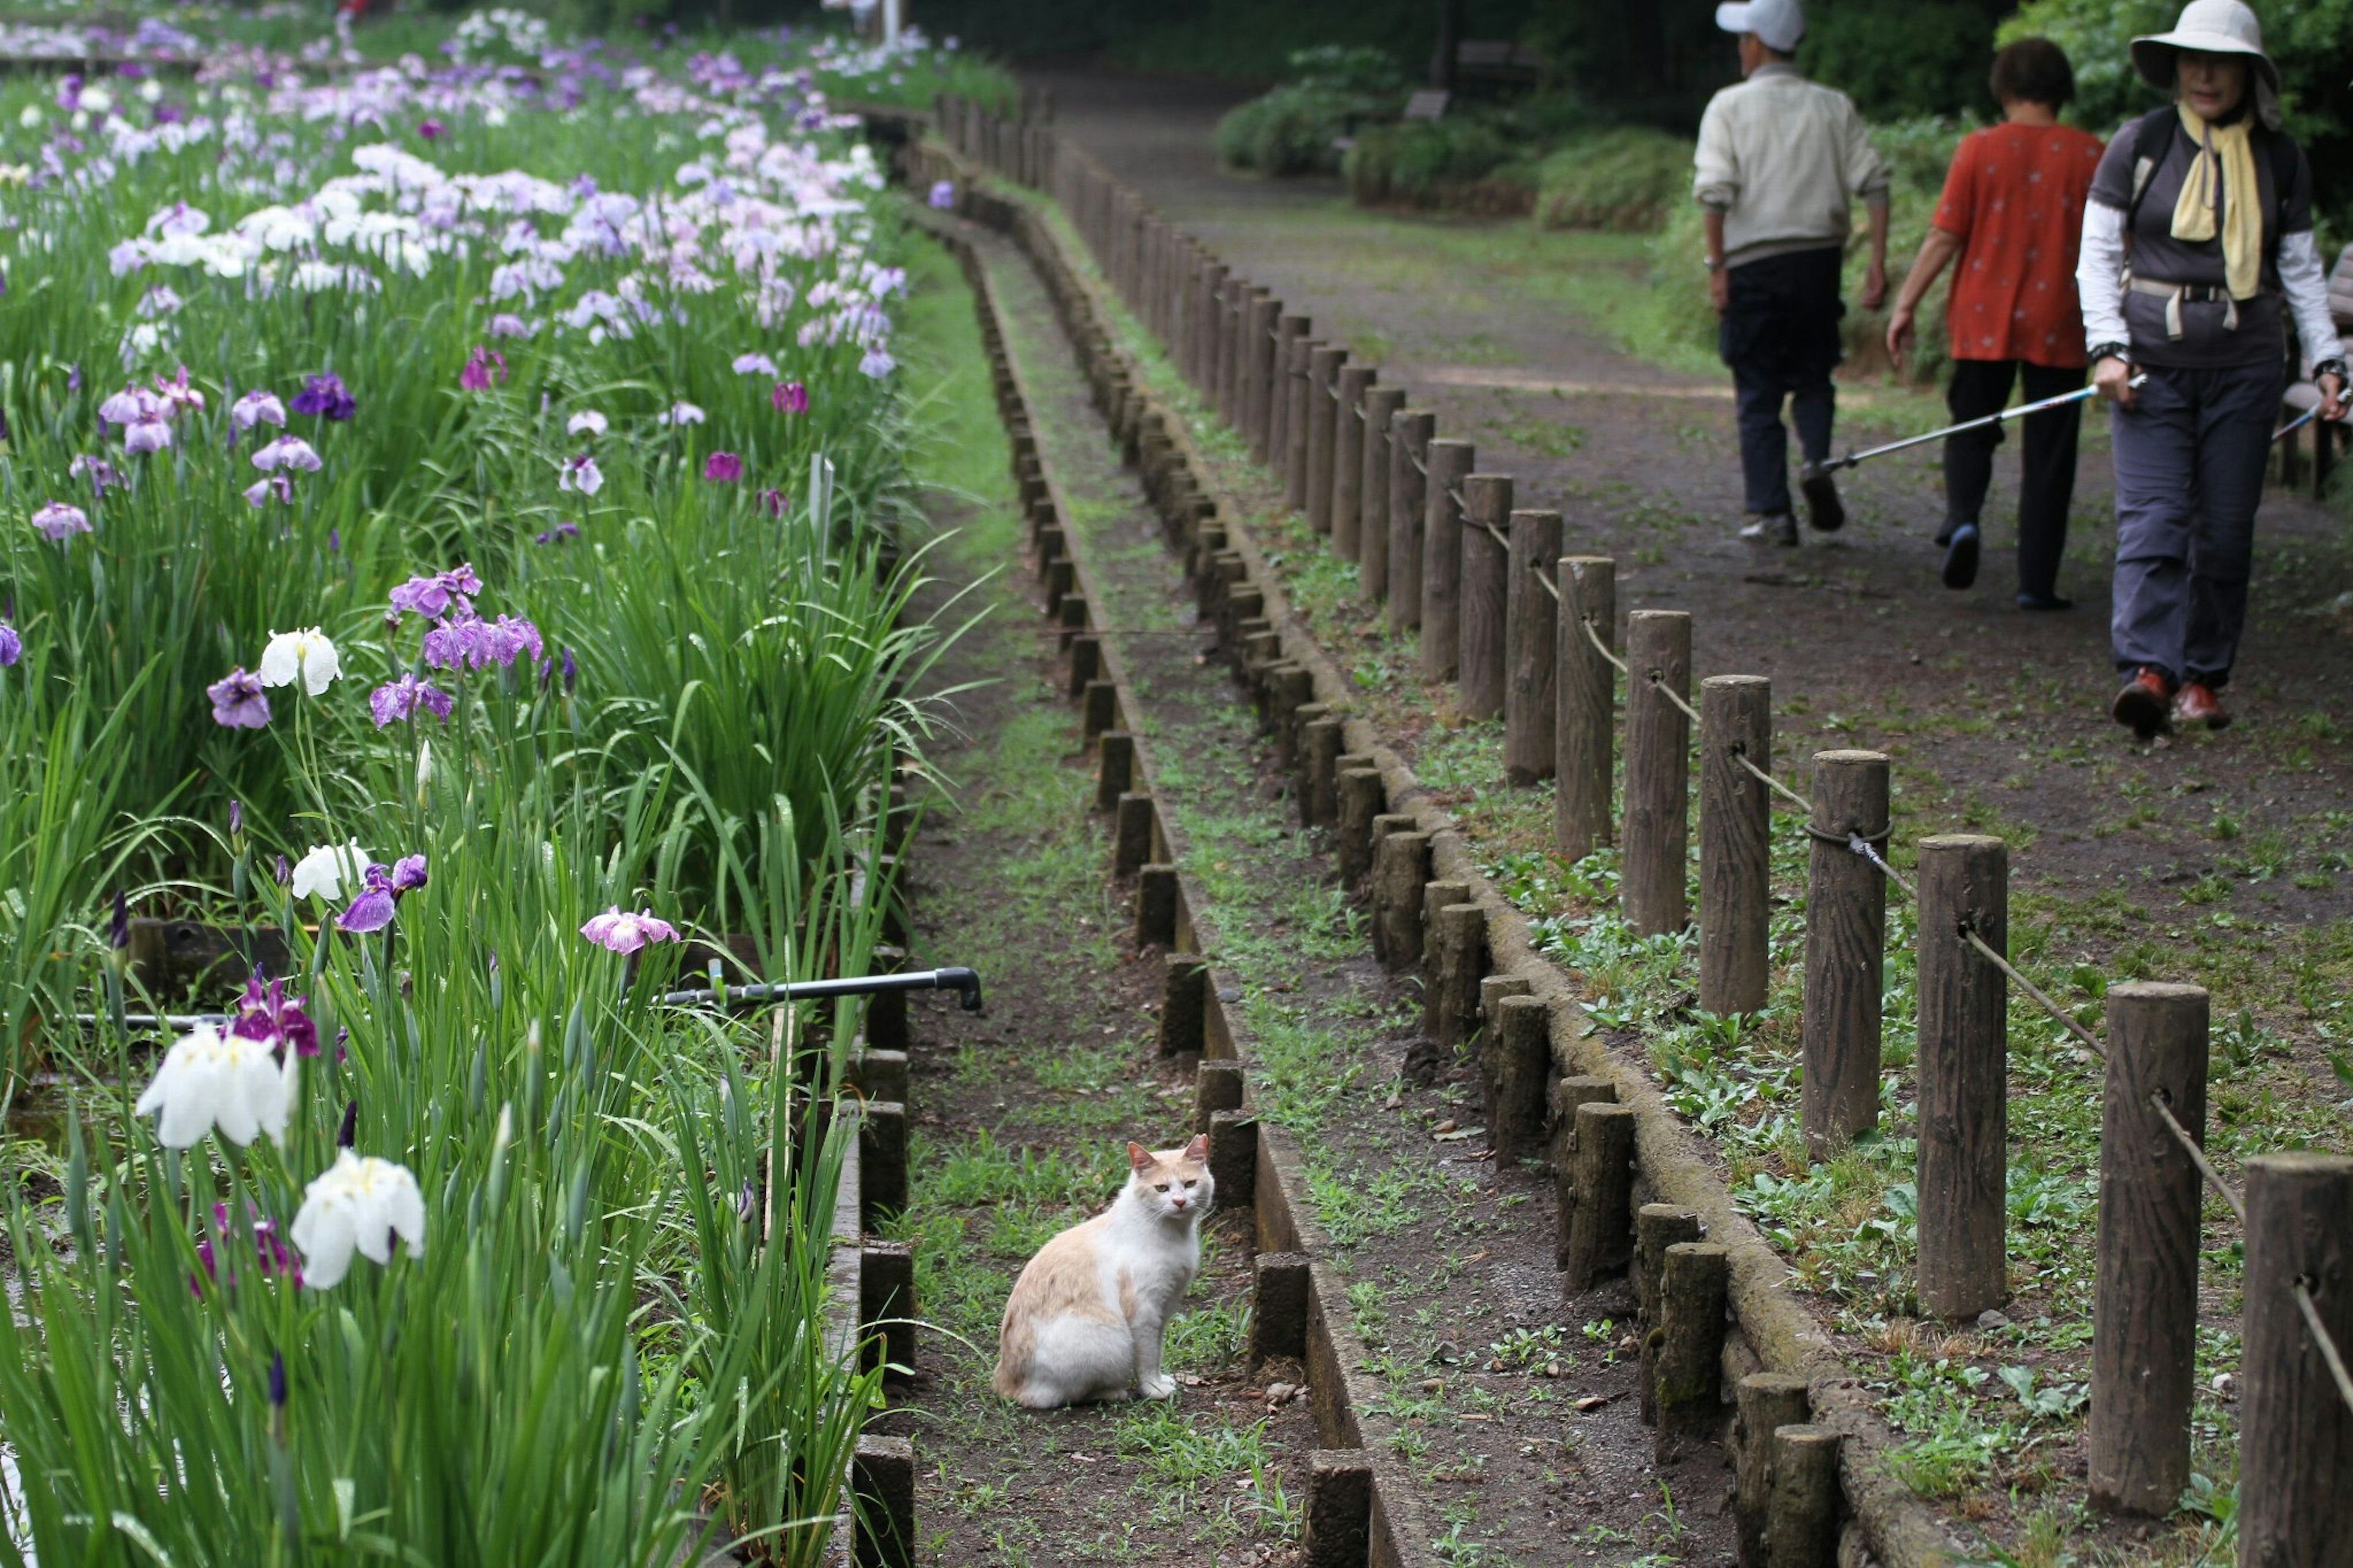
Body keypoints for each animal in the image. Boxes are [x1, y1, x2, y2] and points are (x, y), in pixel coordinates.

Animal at [993, 1125, 1214, 1403]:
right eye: (1162, 1188)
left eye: (1190, 1184)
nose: (1180, 1202)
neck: (1175, 1234)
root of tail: (1004, 1383)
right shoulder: (1144, 1311)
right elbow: (1148, 1357)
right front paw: (1153, 1389)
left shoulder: (1165, 1306)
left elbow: (1158, 1351)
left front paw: (1161, 1380)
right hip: (1109, 1338)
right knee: (1063, 1395)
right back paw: (1114, 1392)